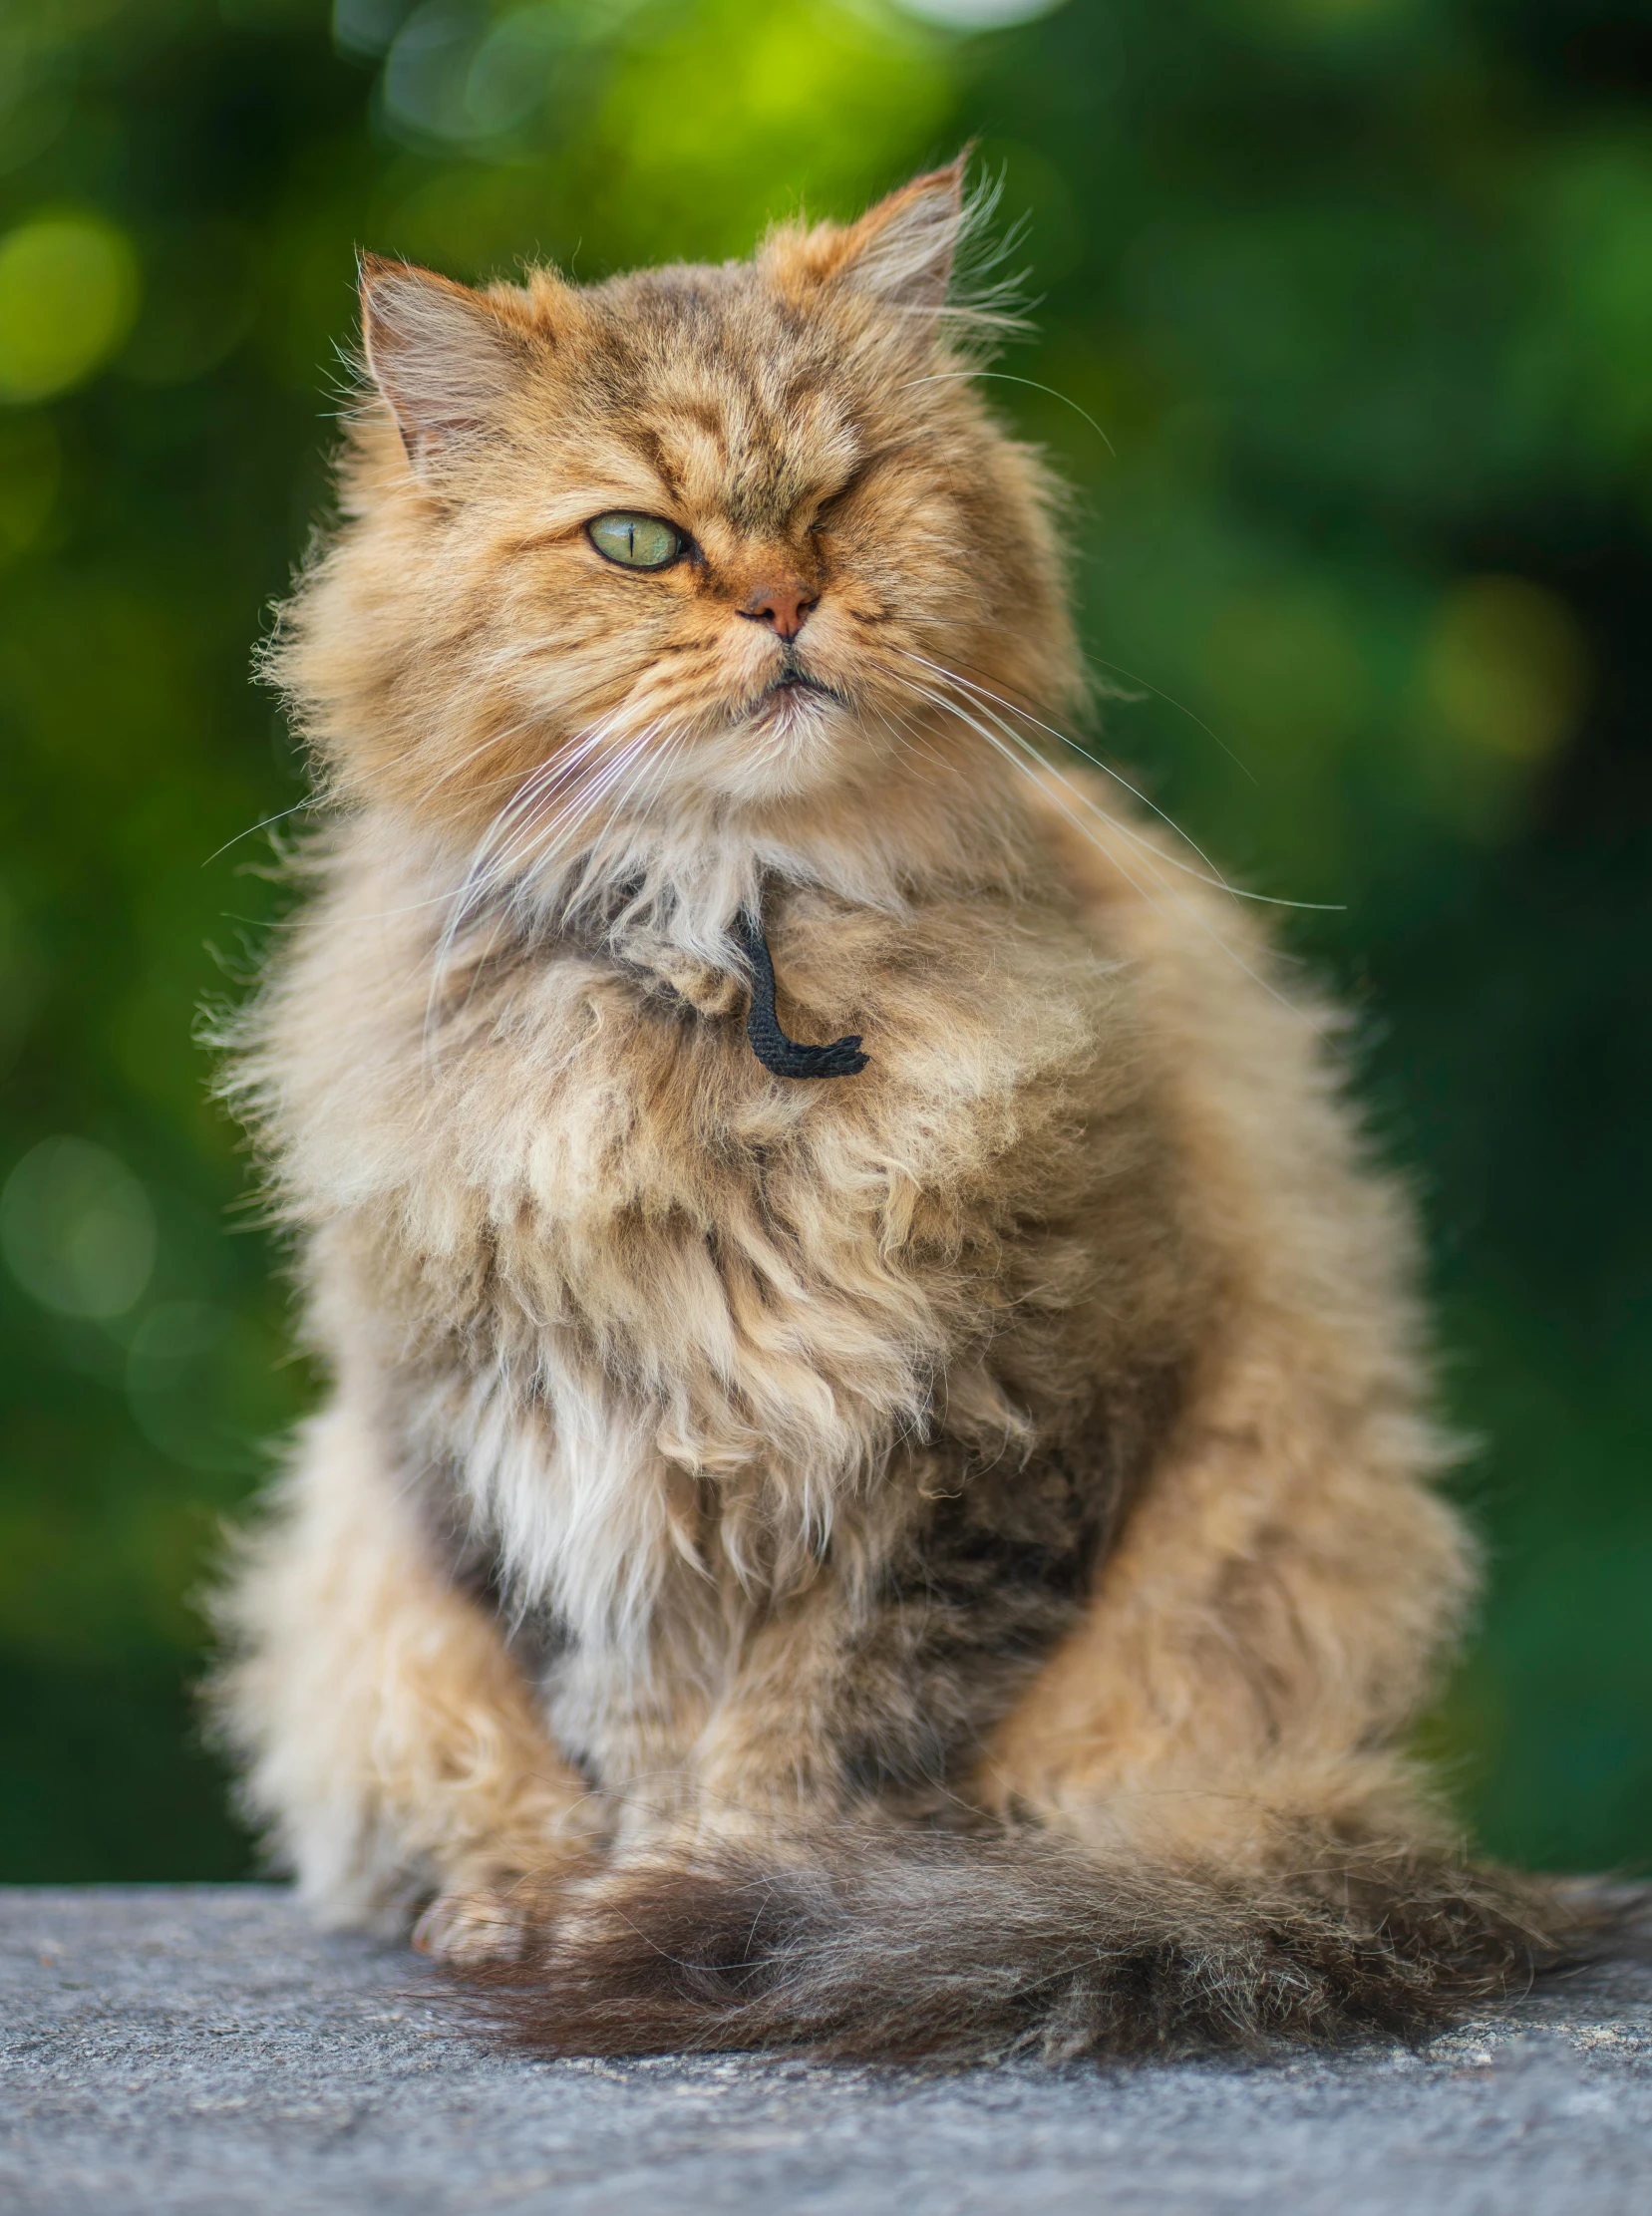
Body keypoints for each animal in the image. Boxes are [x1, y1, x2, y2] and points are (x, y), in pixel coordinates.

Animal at [212, 156, 1569, 2056]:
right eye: (638, 539)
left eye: (843, 497)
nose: (782, 605)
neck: (729, 960)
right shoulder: (534, 1445)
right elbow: (623, 1721)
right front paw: (589, 1906)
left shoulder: (992, 1436)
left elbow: (819, 1735)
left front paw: (723, 1894)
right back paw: (491, 1898)